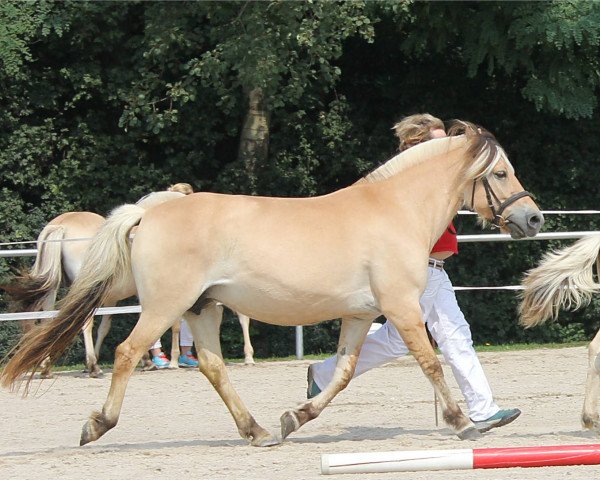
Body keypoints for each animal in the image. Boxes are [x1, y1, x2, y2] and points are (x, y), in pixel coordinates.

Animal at [0, 123, 544, 446]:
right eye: (500, 172)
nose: (533, 218)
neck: (396, 209)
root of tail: (148, 212)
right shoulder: (402, 307)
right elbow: (431, 362)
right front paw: (464, 422)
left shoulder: (361, 313)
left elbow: (343, 374)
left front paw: (295, 417)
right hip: (165, 306)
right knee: (127, 353)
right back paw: (97, 424)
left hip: (202, 308)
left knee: (214, 366)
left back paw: (257, 429)